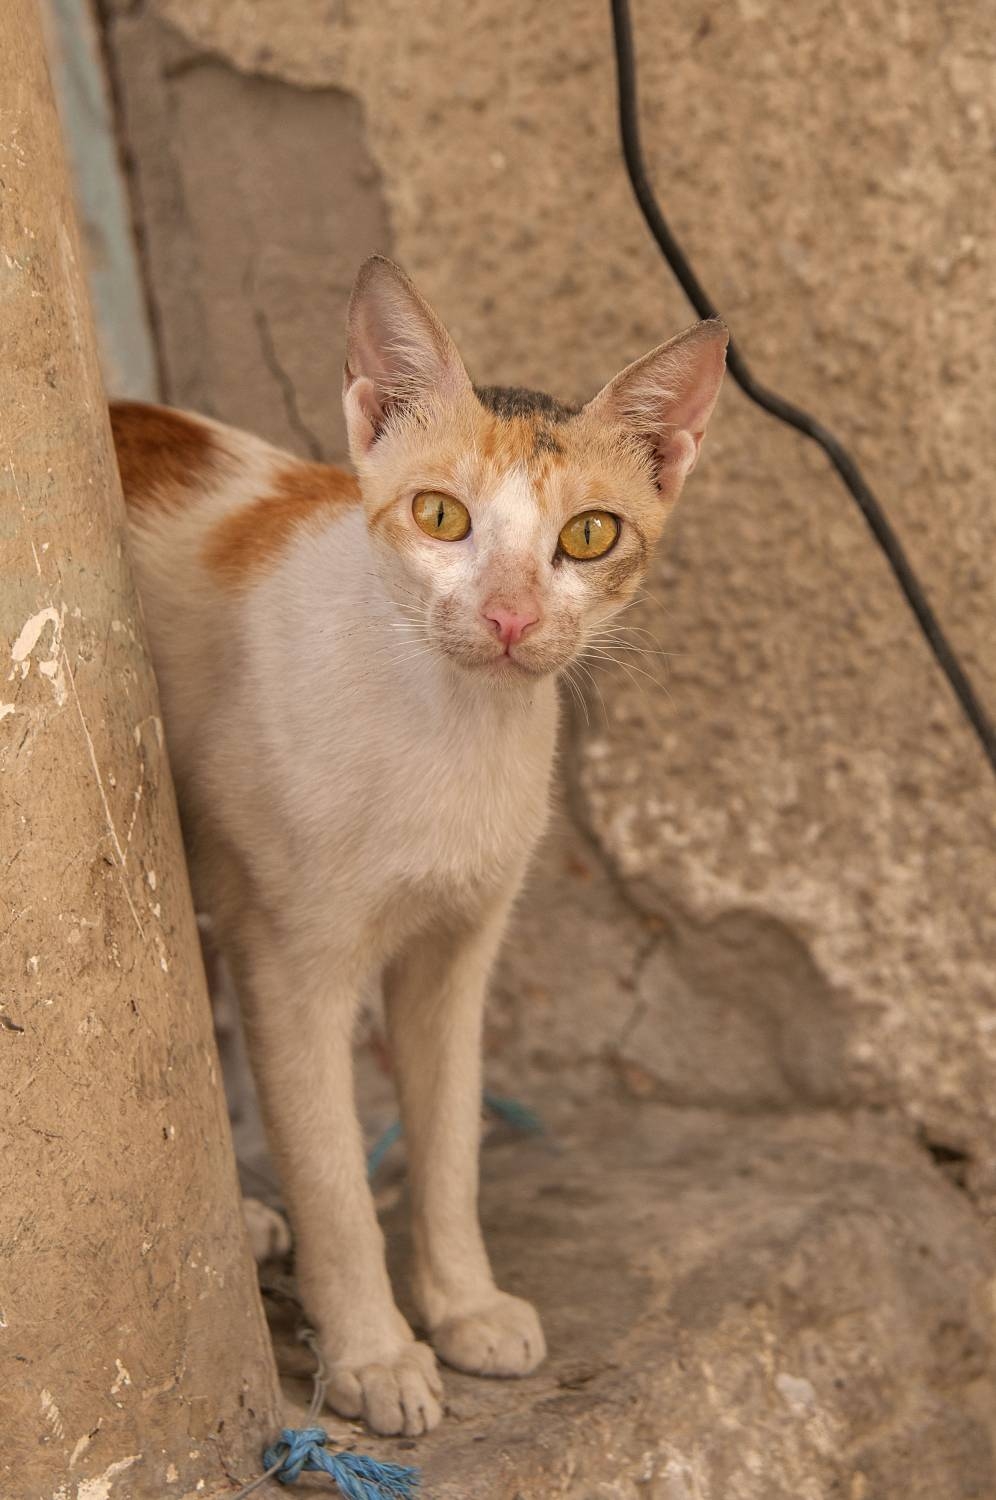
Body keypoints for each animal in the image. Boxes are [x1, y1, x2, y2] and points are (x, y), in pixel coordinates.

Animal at [112, 255, 729, 1428]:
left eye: (589, 535)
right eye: (440, 516)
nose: (509, 617)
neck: (451, 734)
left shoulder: (458, 954)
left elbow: (448, 1146)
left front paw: (464, 1305)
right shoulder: (290, 965)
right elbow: (333, 1173)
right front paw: (375, 1353)